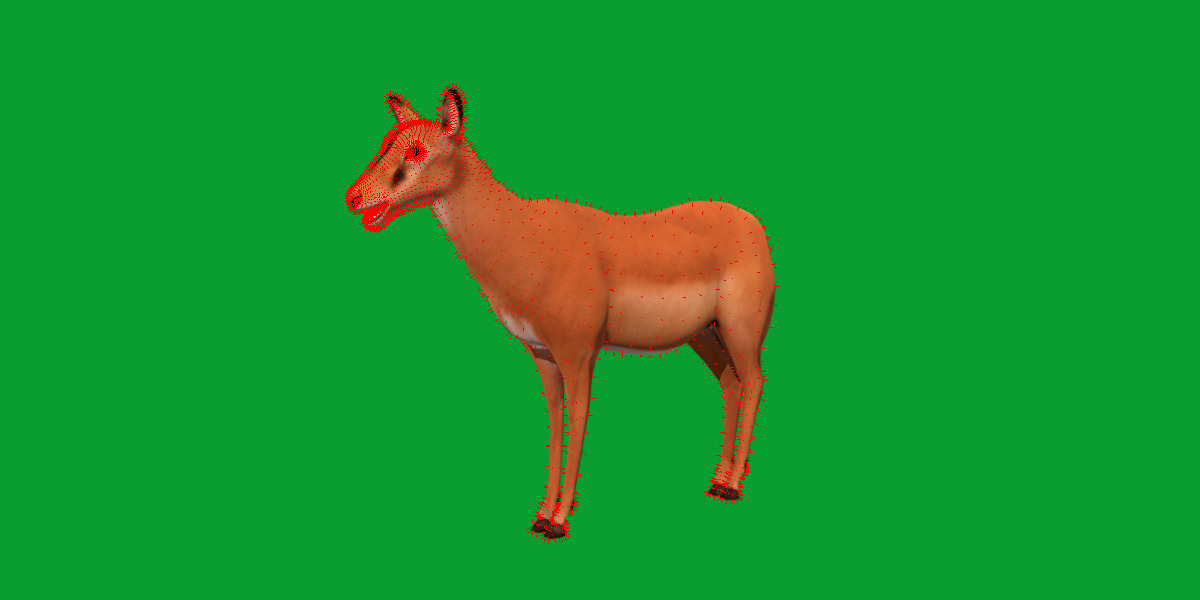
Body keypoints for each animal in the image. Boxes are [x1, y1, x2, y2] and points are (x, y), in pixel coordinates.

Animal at [345, 86, 776, 539]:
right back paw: (717, 479)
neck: (521, 236)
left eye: (415, 149)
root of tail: (752, 224)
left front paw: (559, 520)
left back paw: (732, 486)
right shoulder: (542, 353)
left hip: (740, 329)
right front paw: (540, 515)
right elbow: (555, 421)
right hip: (705, 334)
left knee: (755, 381)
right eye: (386, 142)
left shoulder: (579, 352)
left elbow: (579, 418)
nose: (354, 197)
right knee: (731, 382)